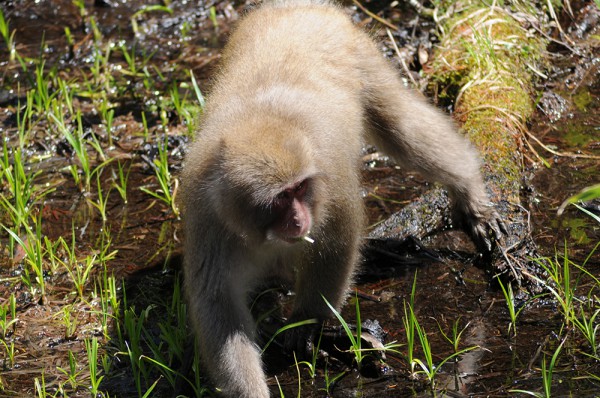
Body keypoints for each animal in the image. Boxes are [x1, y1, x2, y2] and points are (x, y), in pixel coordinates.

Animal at [180, 1, 504, 396]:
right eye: (280, 199)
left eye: (299, 189)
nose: (299, 219)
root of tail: (296, 7)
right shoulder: (207, 215)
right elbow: (218, 301)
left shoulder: (327, 183)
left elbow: (335, 242)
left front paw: (306, 322)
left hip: (360, 54)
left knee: (402, 129)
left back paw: (469, 190)